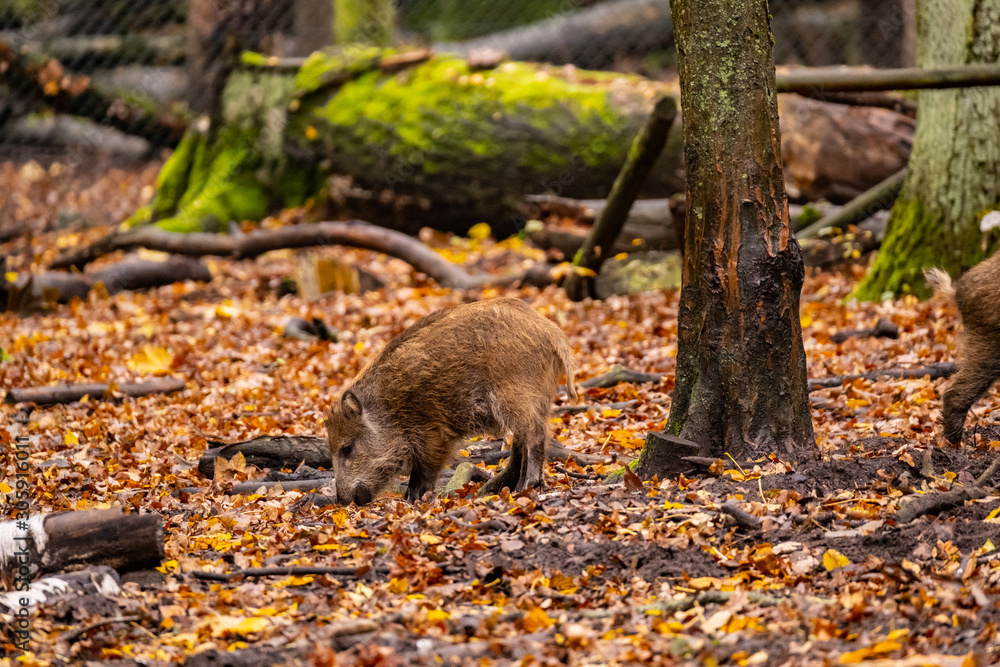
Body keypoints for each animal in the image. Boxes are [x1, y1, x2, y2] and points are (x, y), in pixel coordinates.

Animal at [326, 298, 577, 505]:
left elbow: (423, 471)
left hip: (515, 394)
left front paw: (413, 501)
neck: (389, 409)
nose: (342, 501)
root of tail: (552, 332)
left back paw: (526, 487)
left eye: (347, 448)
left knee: (534, 433)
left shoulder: (432, 432)